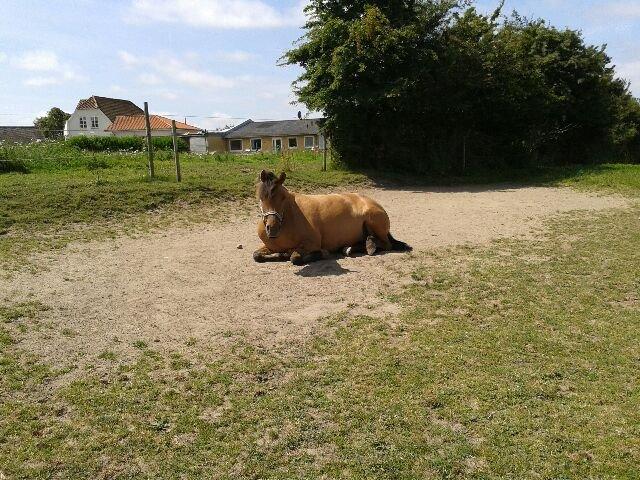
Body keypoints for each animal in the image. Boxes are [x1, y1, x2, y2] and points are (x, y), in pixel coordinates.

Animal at [253, 170, 411, 265]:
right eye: (261, 197)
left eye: (284, 197)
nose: (272, 228)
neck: (289, 216)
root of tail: (373, 202)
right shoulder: (269, 247)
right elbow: (256, 255)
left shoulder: (311, 244)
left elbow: (295, 257)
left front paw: (321, 254)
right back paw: (352, 247)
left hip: (374, 221)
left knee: (386, 244)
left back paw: (368, 246)